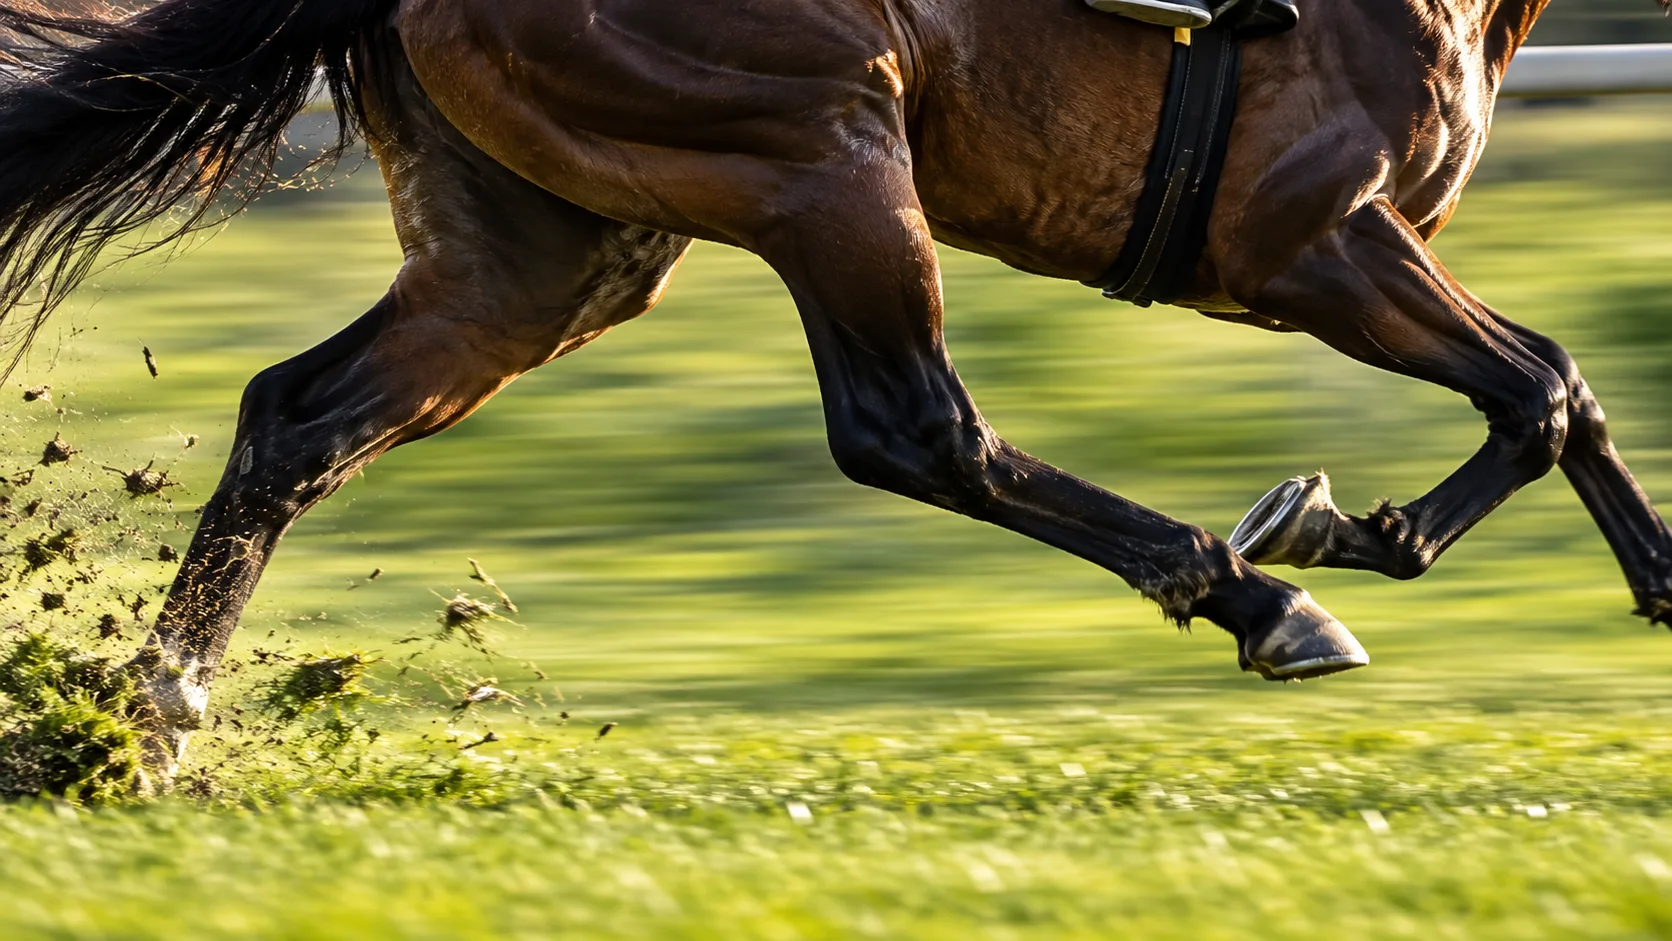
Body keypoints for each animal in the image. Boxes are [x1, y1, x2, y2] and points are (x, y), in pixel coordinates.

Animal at [0, 0, 1665, 779]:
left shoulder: (1334, 242)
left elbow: (1560, 391)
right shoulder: (1304, 235)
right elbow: (1541, 388)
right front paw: (1327, 534)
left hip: (544, 252)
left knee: (299, 417)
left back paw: (153, 721)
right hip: (819, 148)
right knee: (915, 429)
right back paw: (1262, 599)